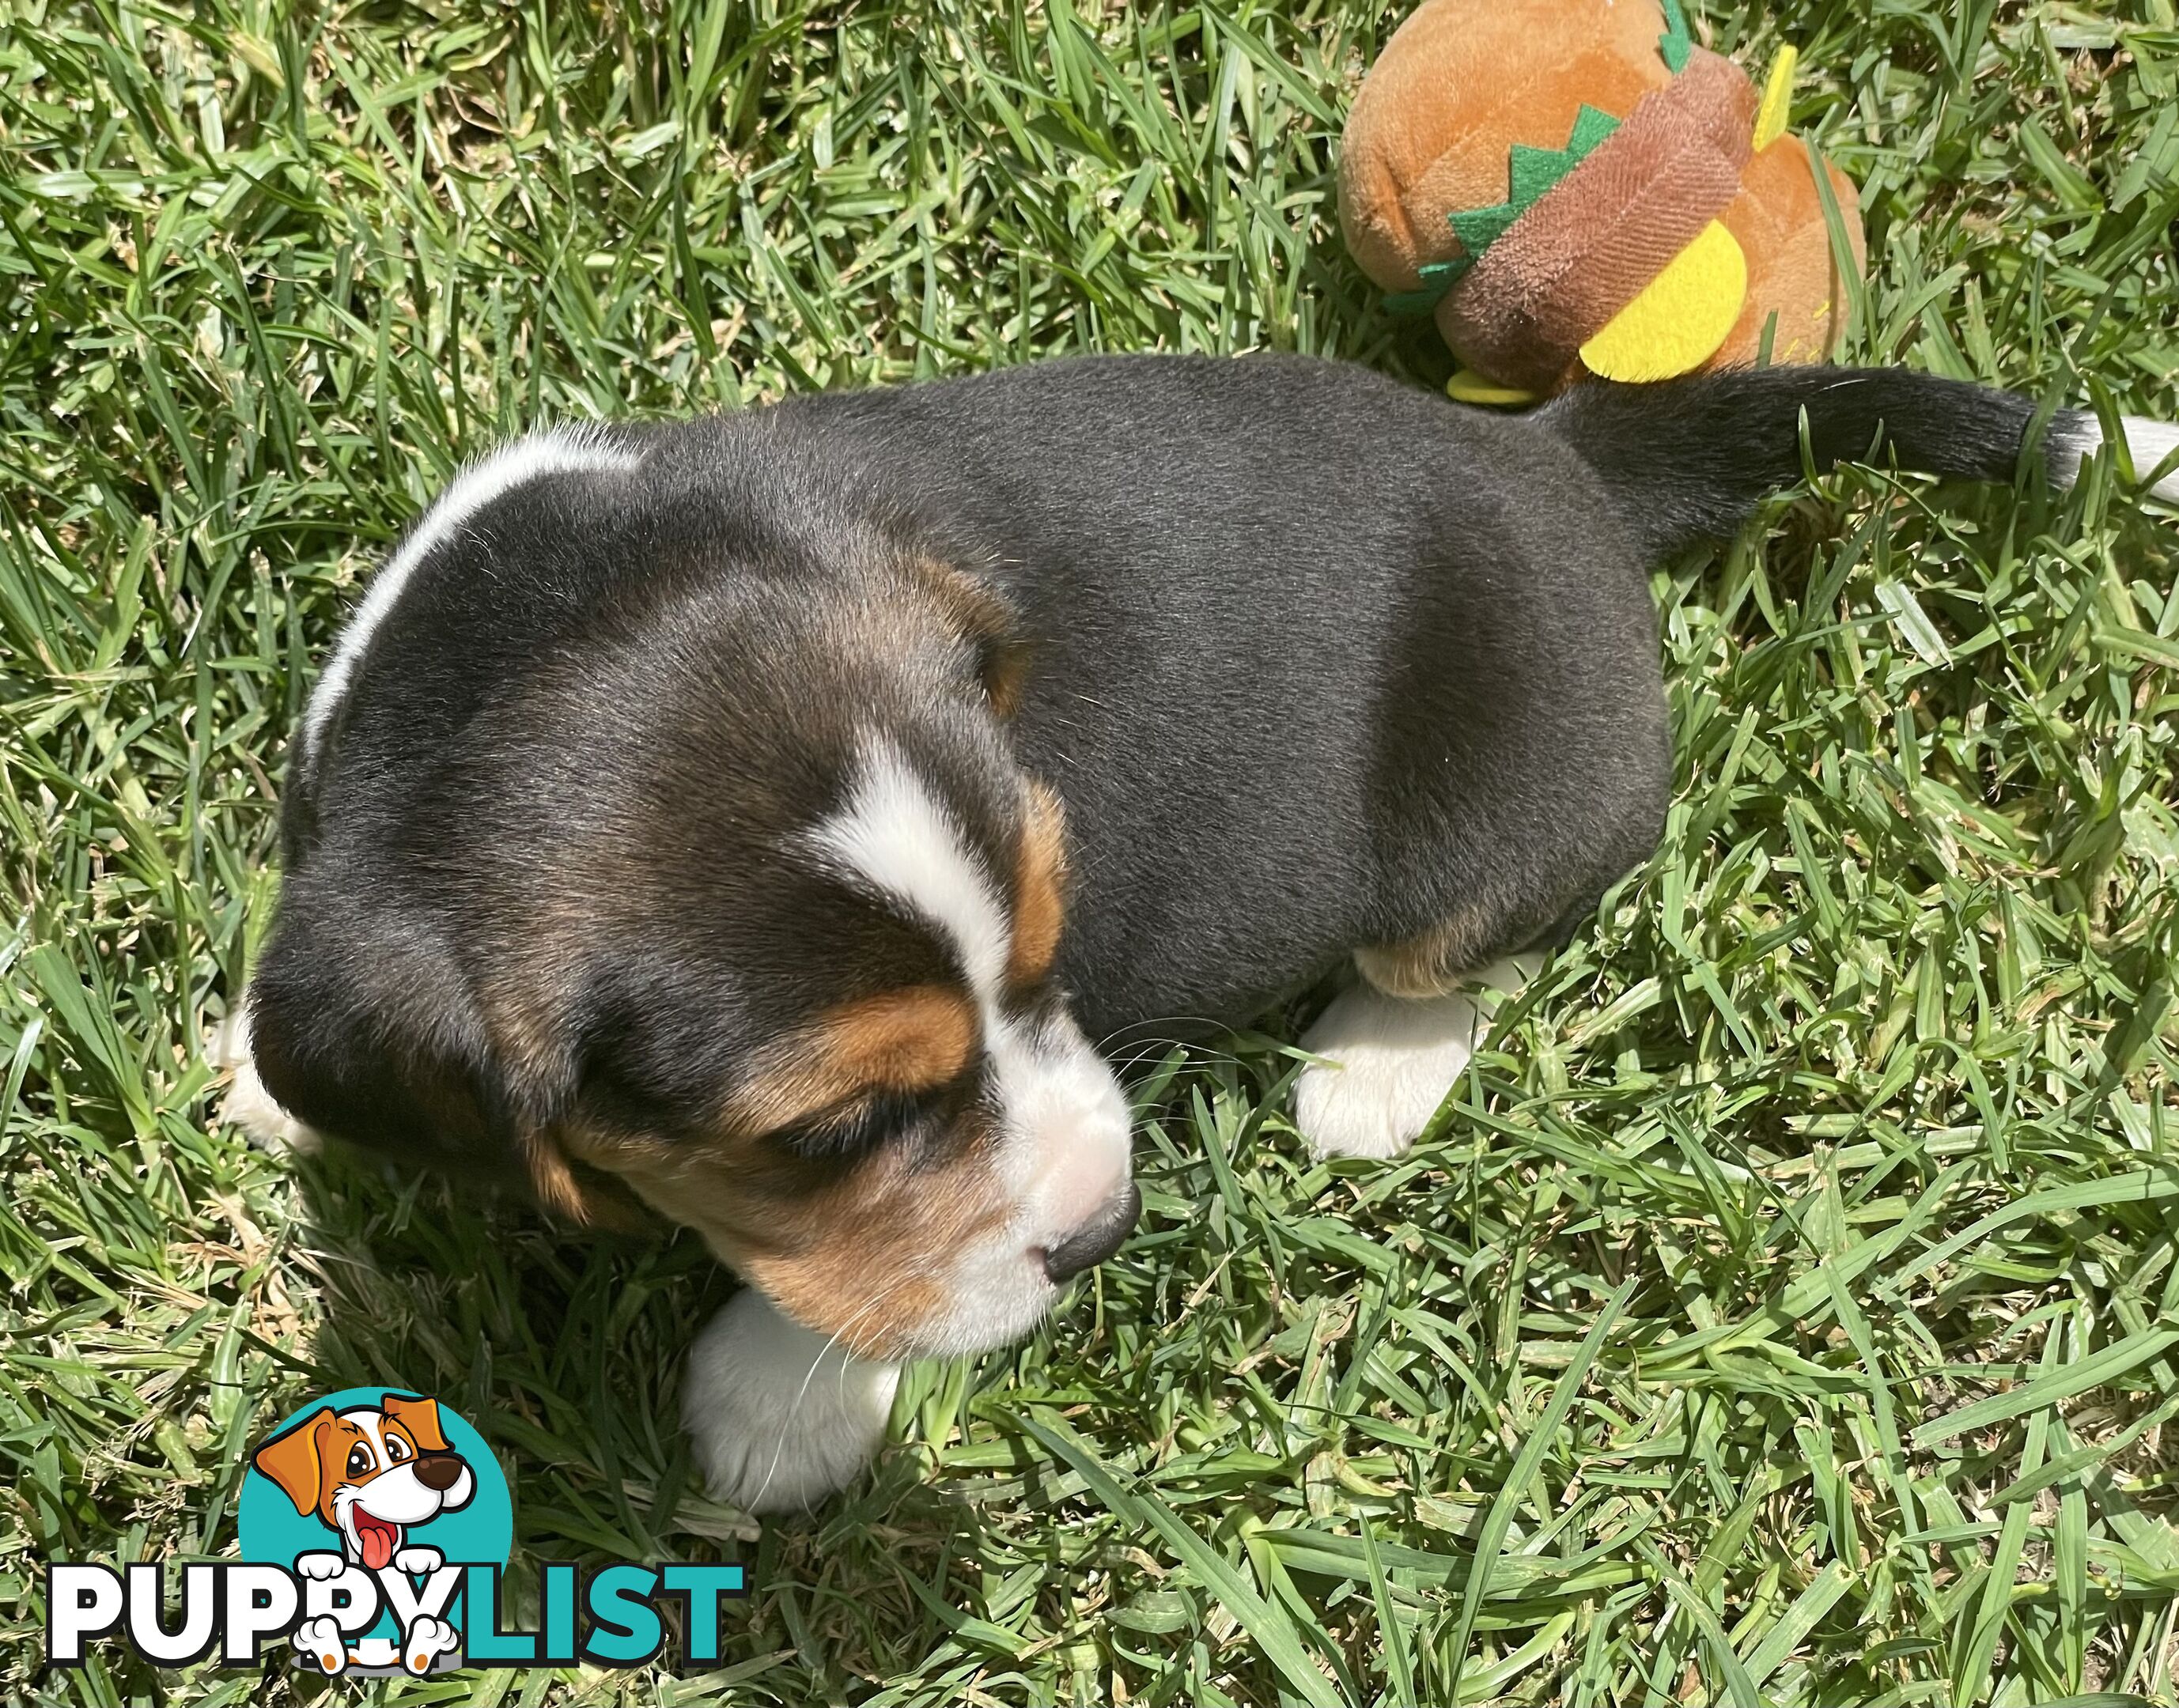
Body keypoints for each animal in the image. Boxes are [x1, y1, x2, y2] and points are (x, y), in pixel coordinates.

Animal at [229, 353, 2170, 1498]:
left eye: (1053, 950)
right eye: (836, 1128)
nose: (1102, 1238)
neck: (545, 628)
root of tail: (1549, 458)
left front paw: (785, 1402)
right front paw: (262, 1081)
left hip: (1493, 827)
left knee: (1468, 951)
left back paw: (1371, 1073)